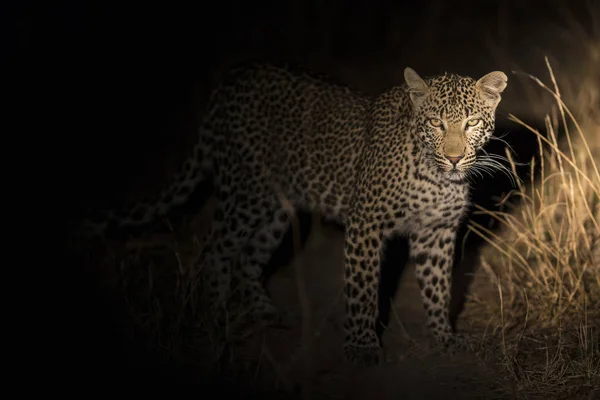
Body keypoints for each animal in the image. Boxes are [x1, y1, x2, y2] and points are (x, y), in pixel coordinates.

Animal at [83, 61, 506, 366]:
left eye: (471, 123)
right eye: (436, 122)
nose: (454, 157)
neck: (438, 177)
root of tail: (229, 83)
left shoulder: (437, 232)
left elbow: (438, 289)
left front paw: (443, 338)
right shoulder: (366, 226)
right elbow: (363, 291)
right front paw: (361, 347)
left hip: (275, 210)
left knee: (247, 260)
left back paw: (265, 312)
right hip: (246, 193)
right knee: (215, 251)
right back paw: (215, 317)